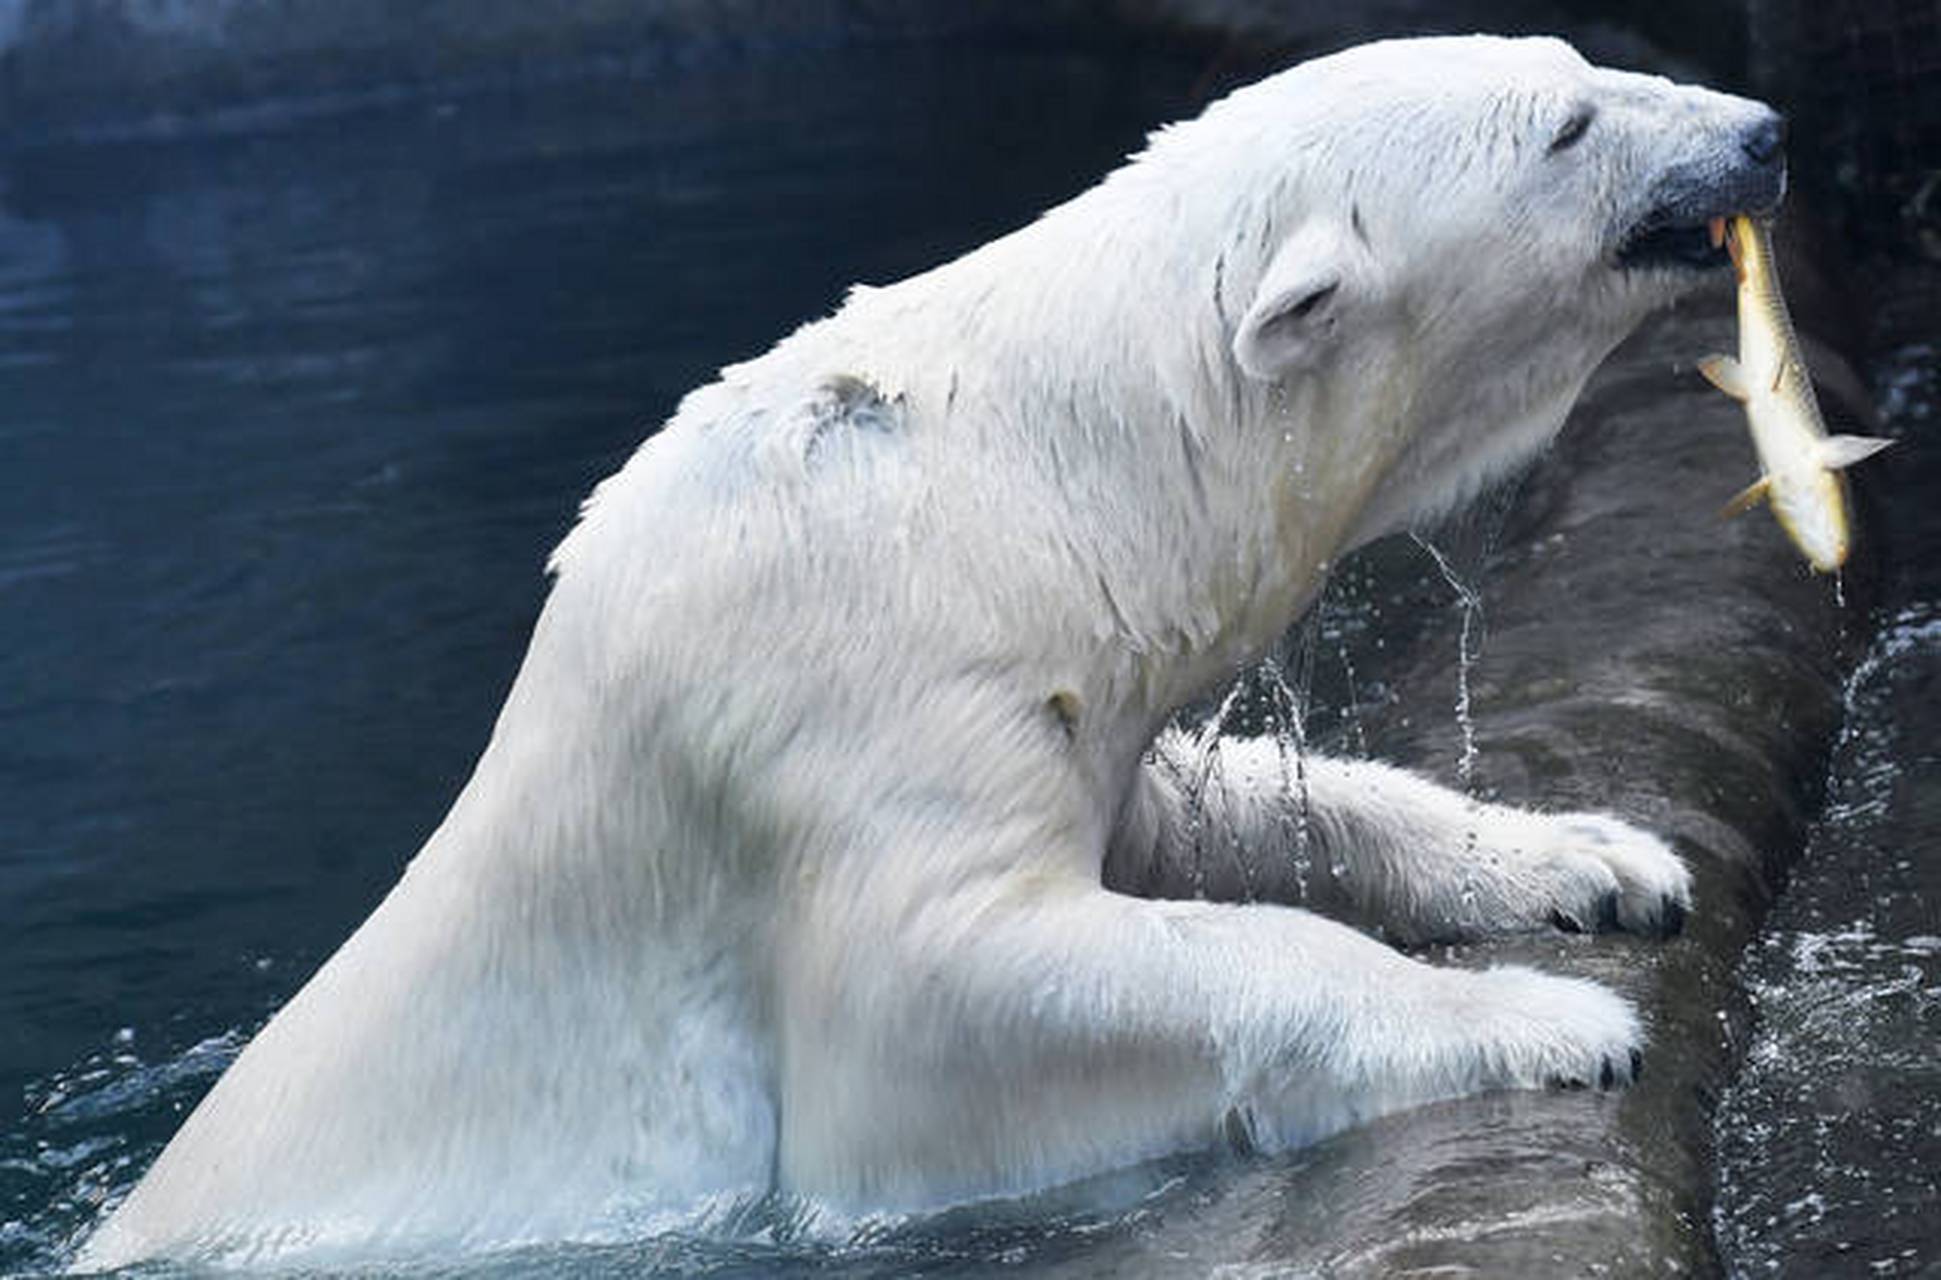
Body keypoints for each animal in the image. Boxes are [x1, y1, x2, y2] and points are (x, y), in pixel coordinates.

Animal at [75, 30, 1777, 1274]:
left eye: (1578, 59)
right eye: (1568, 126)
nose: (1758, 131)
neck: (1014, 478)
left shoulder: (1043, 672)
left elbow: (1200, 817)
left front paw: (1598, 860)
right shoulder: (841, 697)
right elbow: (942, 997)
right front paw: (1554, 1023)